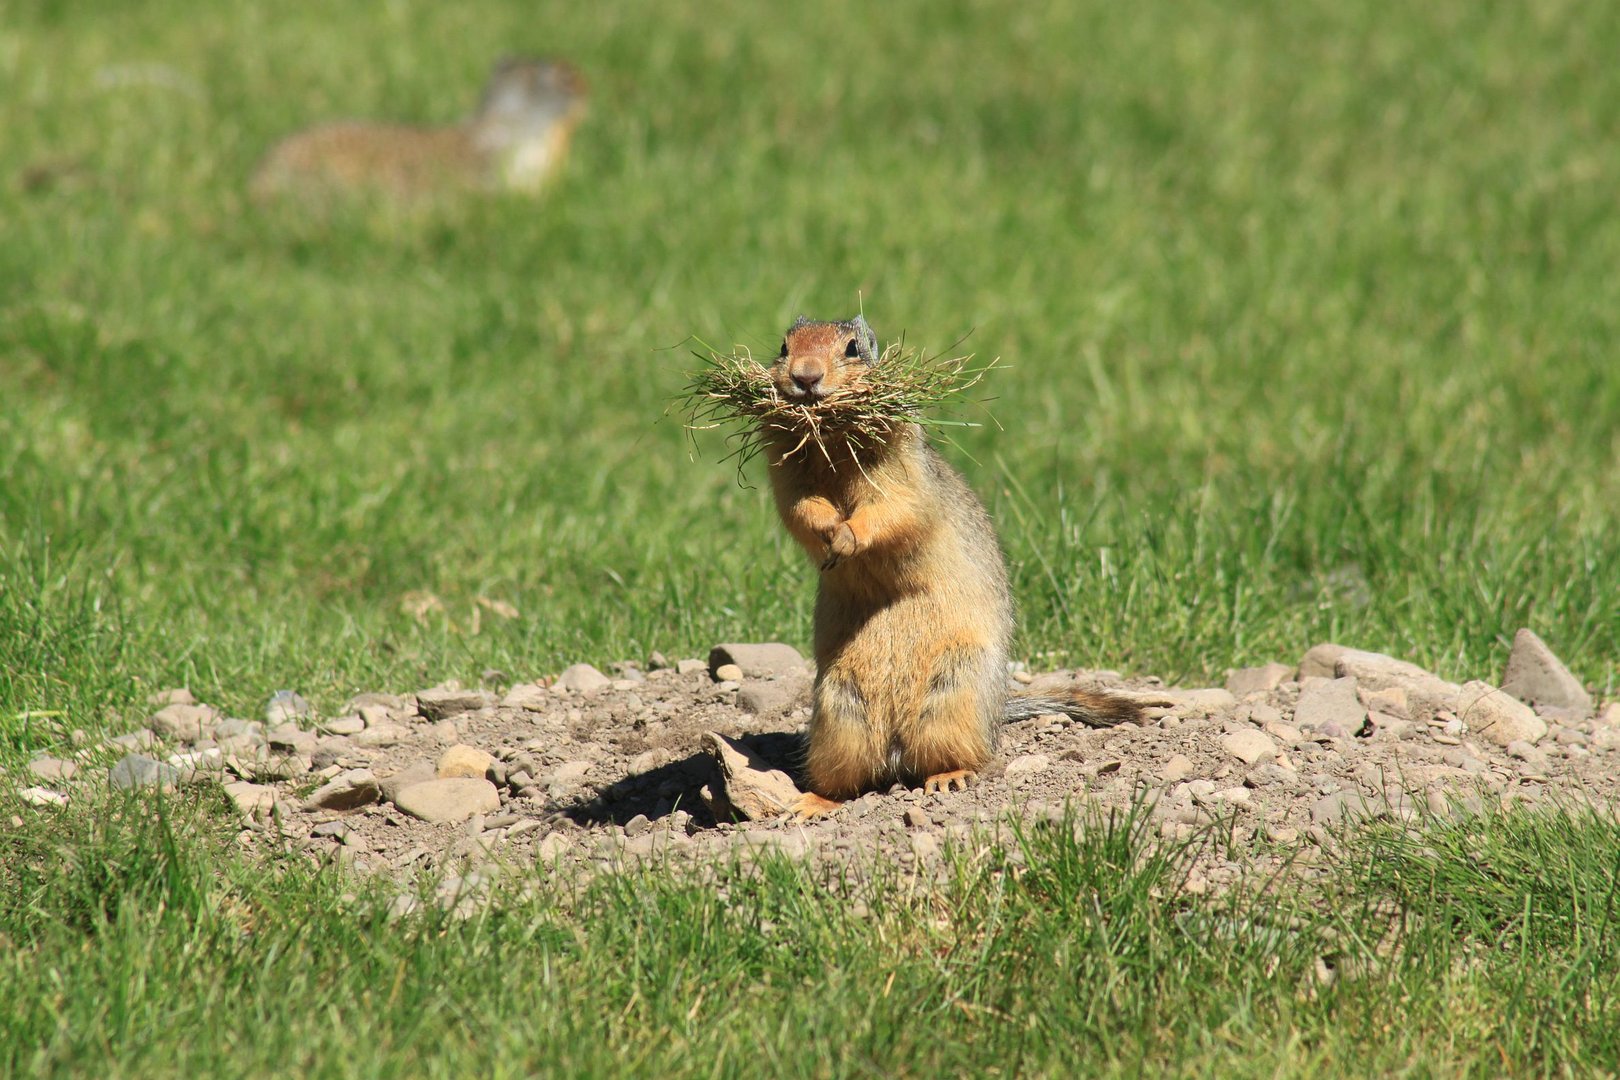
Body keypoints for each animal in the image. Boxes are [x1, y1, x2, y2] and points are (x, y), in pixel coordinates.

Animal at [764, 317, 1146, 816]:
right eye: (783, 346)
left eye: (851, 348)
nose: (805, 376)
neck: (833, 446)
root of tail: (896, 746)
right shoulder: (787, 474)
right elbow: (800, 507)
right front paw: (830, 531)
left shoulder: (902, 471)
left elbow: (893, 507)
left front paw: (847, 536)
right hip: (839, 713)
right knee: (847, 779)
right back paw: (814, 800)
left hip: (953, 691)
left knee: (958, 756)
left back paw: (949, 777)